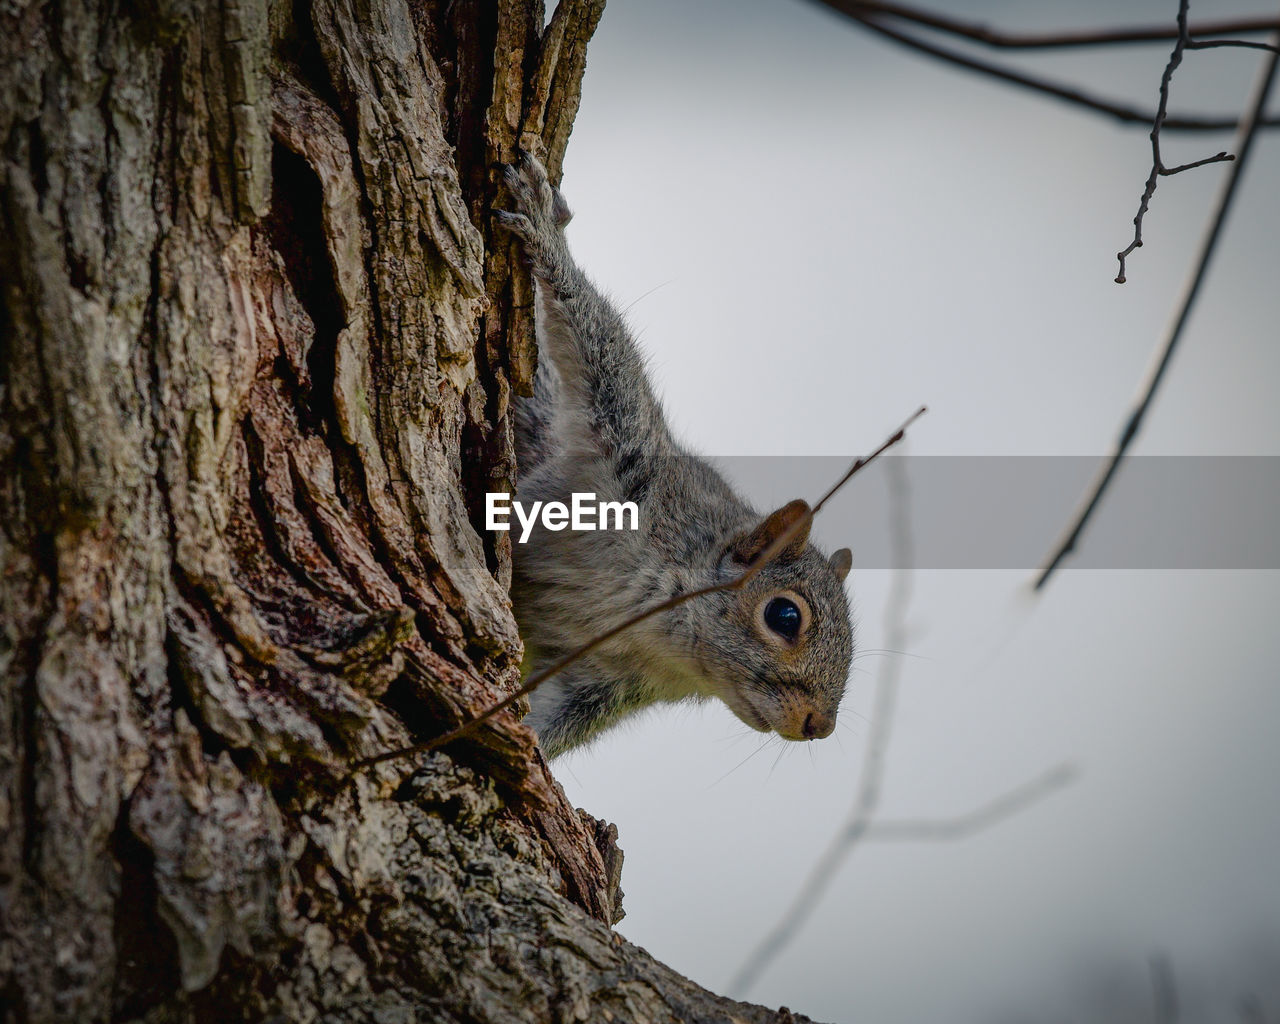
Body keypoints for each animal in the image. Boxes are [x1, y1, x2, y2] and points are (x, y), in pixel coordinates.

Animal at [494, 154, 855, 757]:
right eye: (785, 615)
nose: (818, 726)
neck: (659, 634)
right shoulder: (628, 459)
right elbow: (599, 345)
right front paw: (547, 233)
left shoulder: (598, 682)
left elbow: (557, 717)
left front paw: (528, 746)